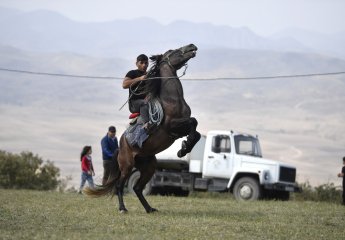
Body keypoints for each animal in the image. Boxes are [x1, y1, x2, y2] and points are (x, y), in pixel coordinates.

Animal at [84, 44, 200, 213]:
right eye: (172, 51)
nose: (192, 46)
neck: (172, 100)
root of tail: (121, 145)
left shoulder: (179, 130)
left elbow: (195, 130)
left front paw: (184, 148)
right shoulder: (172, 126)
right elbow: (193, 122)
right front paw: (183, 149)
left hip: (149, 166)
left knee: (138, 188)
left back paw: (149, 208)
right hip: (127, 165)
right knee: (120, 185)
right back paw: (122, 208)